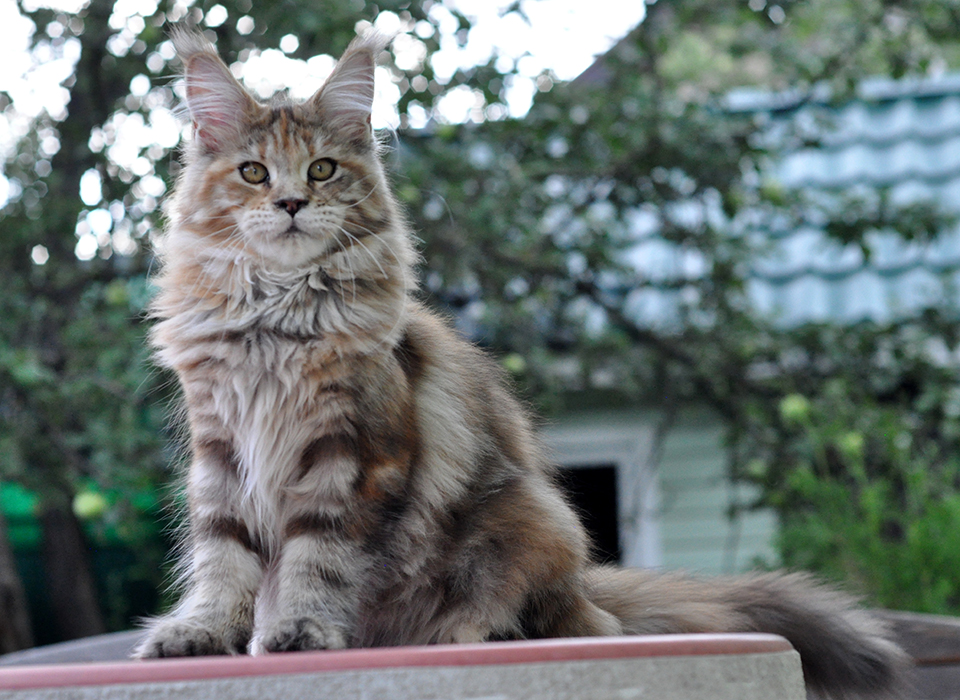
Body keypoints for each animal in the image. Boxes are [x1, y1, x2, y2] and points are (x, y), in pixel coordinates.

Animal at [133, 28, 908, 700]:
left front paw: (302, 629)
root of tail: (583, 587)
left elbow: (314, 560)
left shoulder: (350, 455)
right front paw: (199, 634)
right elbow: (222, 558)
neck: (277, 316)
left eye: (321, 170)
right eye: (254, 173)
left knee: (554, 621)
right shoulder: (222, 450)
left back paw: (473, 634)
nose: (292, 202)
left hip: (531, 522)